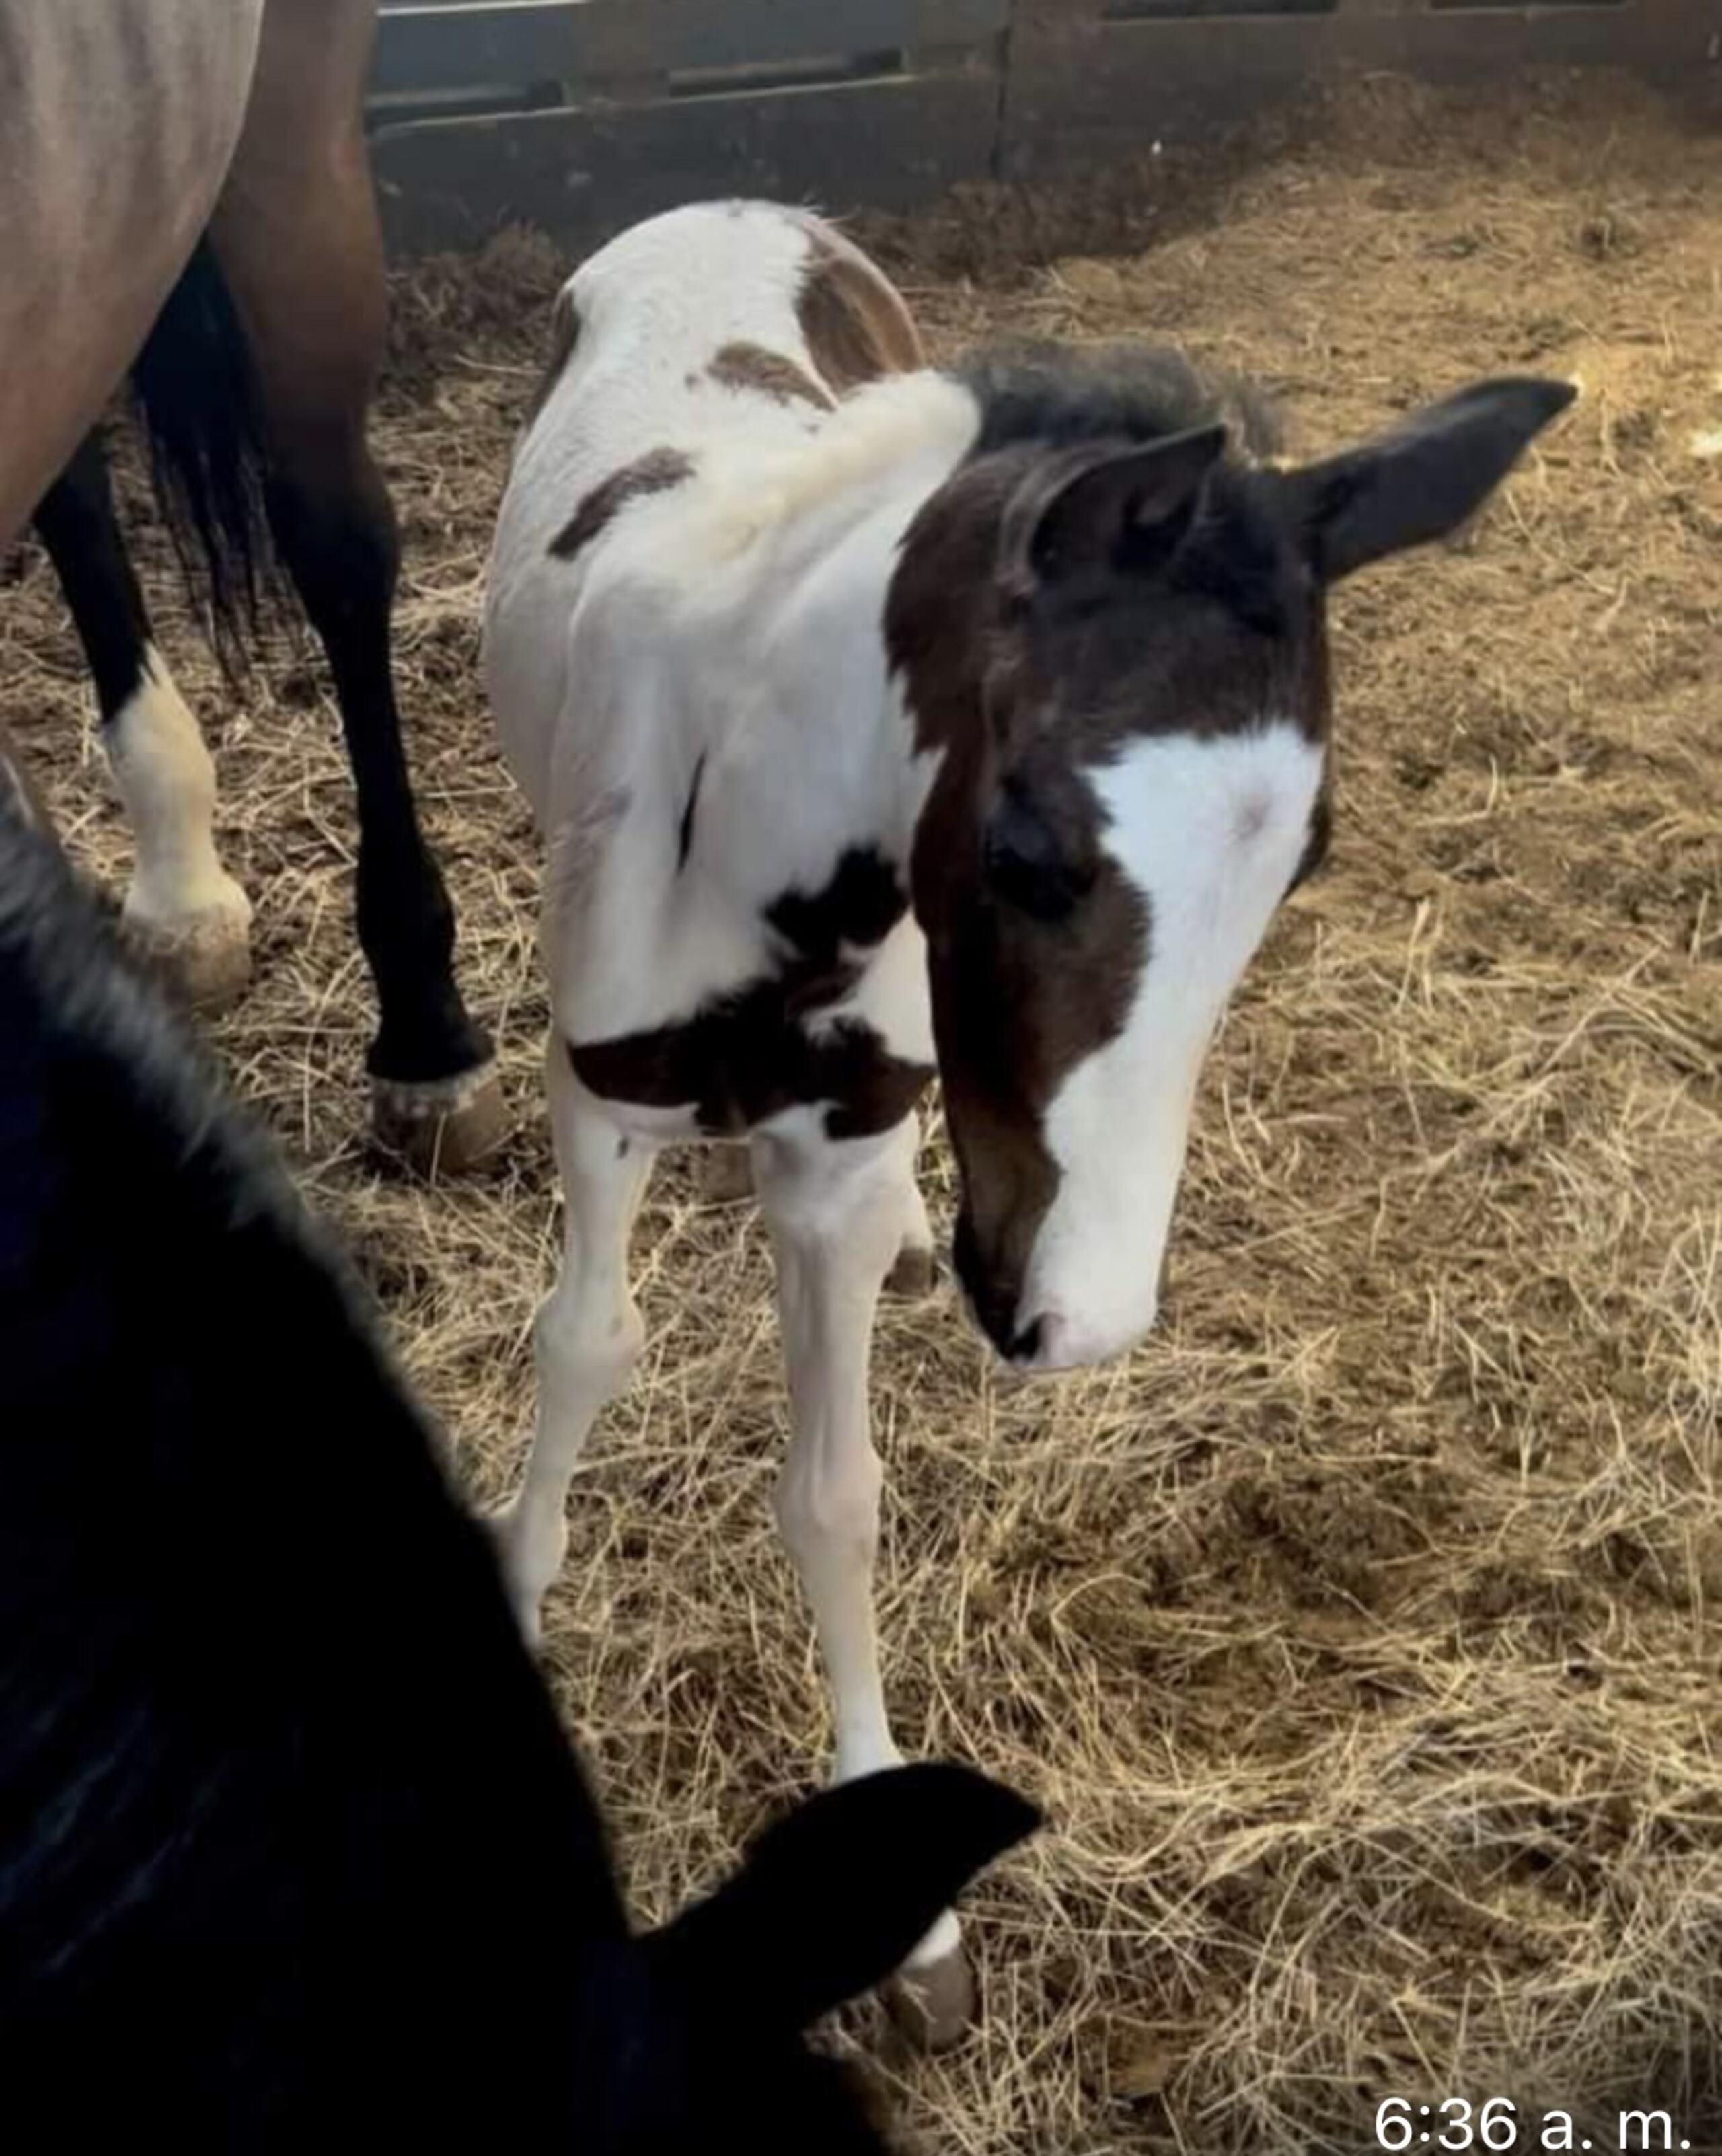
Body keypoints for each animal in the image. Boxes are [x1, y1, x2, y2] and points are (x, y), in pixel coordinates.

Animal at [484, 202, 1577, 2035]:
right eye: (1025, 846)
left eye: (1302, 862)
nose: (1076, 1314)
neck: (760, 826)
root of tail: (733, 213)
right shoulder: (597, 1099)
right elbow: (584, 1341)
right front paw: (514, 1575)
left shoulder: (838, 1144)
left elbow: (833, 1494)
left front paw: (901, 1908)